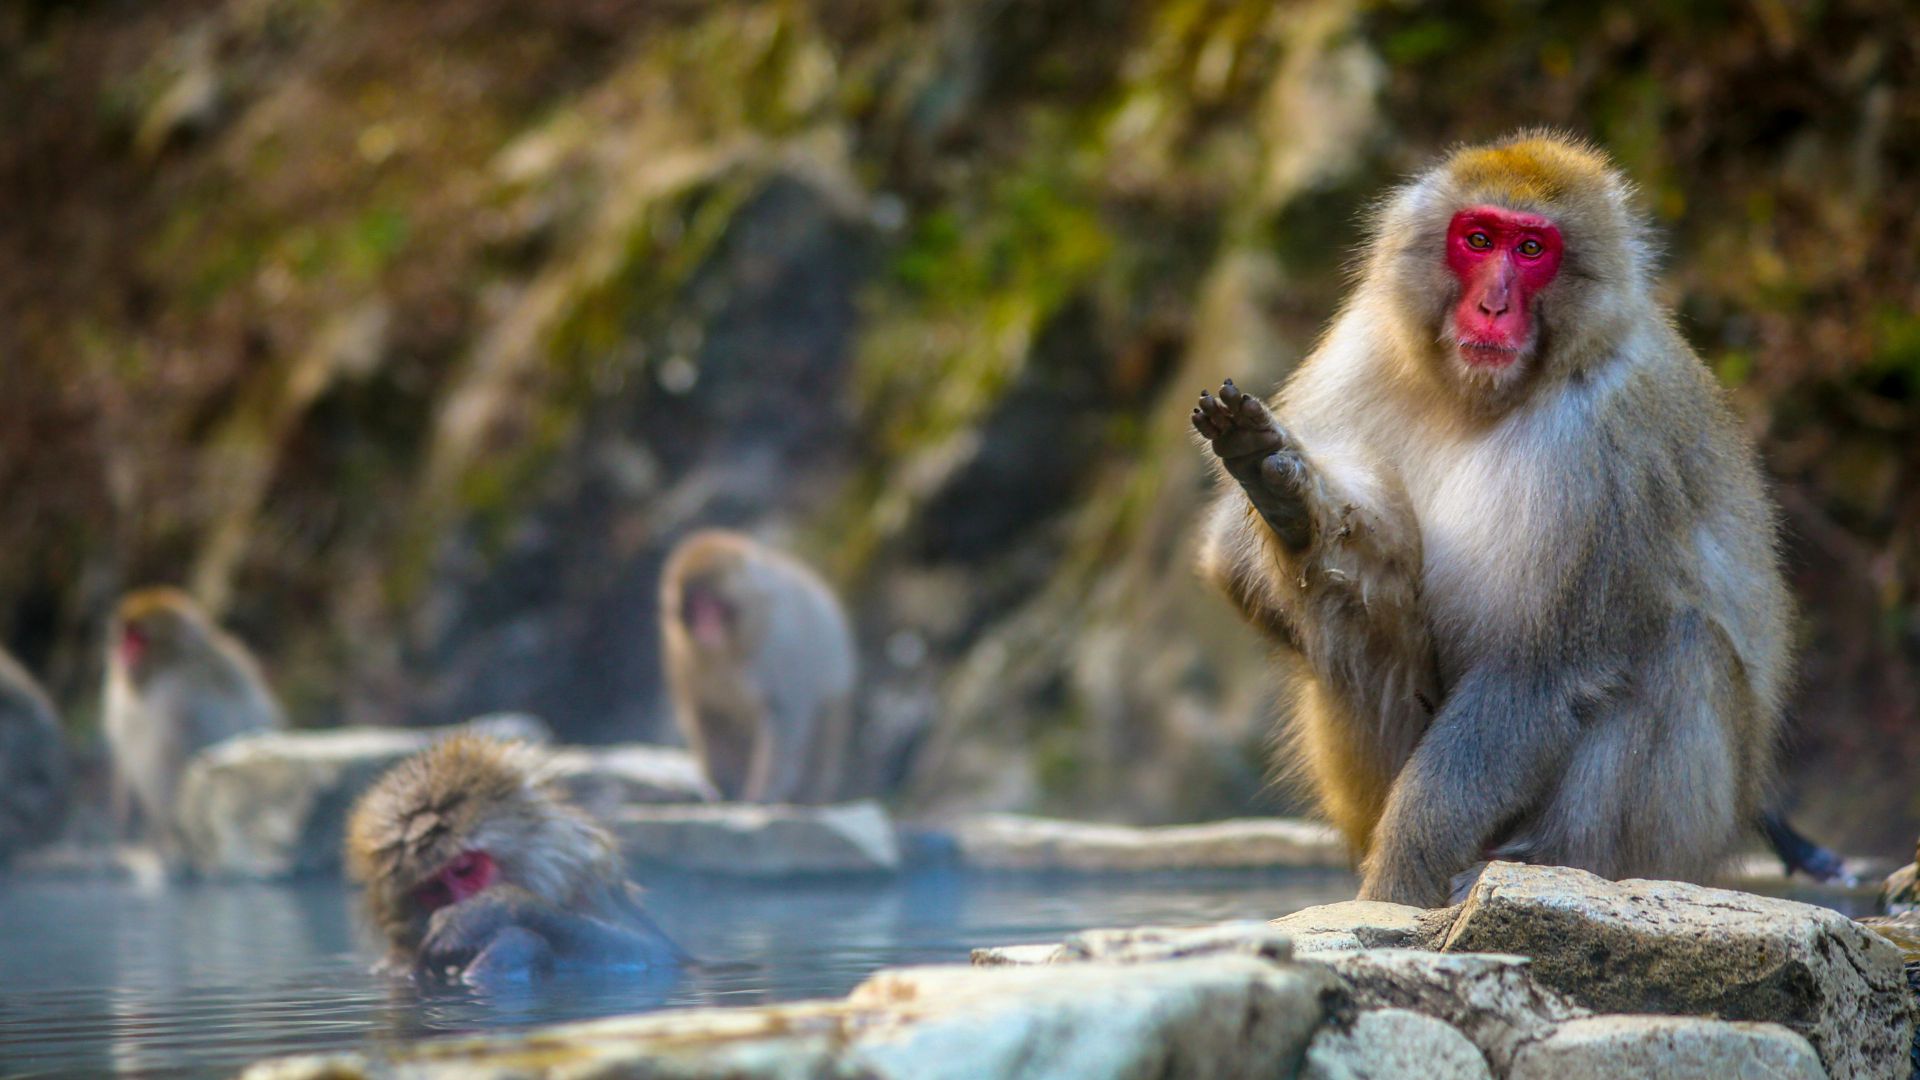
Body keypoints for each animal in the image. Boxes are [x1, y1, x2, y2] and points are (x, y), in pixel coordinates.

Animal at [659, 529, 859, 804]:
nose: (706, 628)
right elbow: (708, 713)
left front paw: (763, 793)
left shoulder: (779, 644)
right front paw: (722, 788)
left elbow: (785, 713)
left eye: (713, 606)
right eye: (697, 605)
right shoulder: (680, 652)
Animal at [1193, 131, 1792, 907]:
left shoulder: (1597, 441)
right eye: (1478, 239)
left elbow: (1533, 671)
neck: (1477, 396)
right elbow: (1235, 560)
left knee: (1680, 646)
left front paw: (1399, 881)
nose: (1493, 304)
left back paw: (1546, 862)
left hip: (1681, 841)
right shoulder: (1362, 345)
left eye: (1532, 249)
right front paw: (1290, 506)